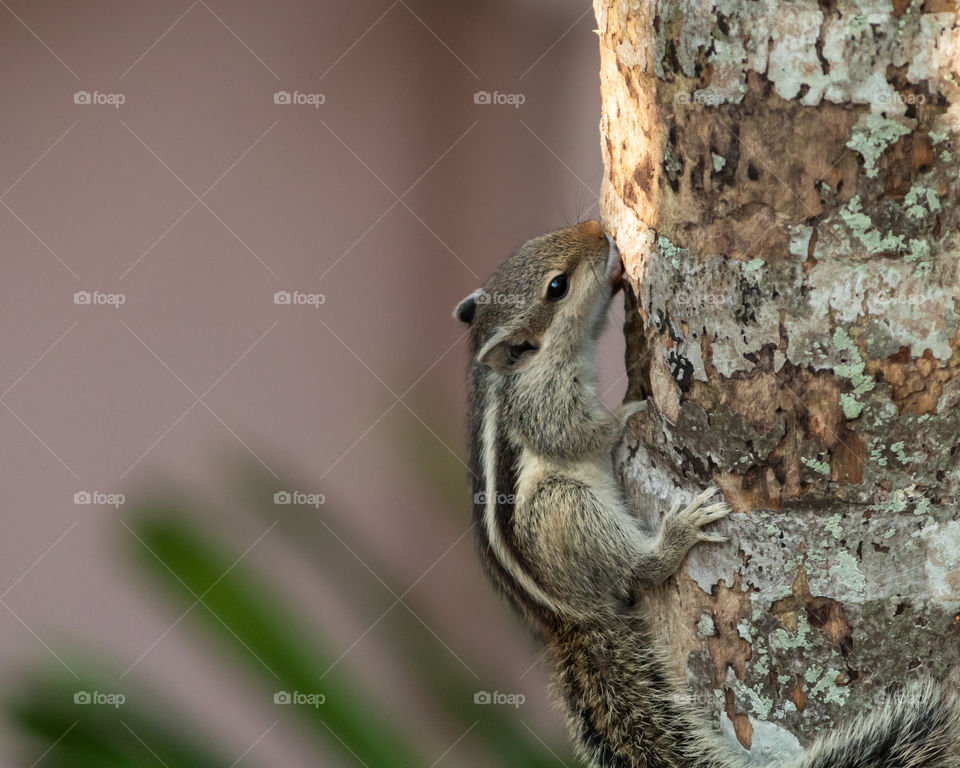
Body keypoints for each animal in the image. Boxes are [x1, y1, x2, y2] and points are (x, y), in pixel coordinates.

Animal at [454, 219, 960, 768]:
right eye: (556, 286)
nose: (596, 228)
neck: (517, 367)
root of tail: (562, 616)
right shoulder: (543, 403)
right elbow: (577, 434)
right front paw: (631, 410)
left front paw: (616, 280)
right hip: (563, 508)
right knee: (634, 568)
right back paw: (675, 535)